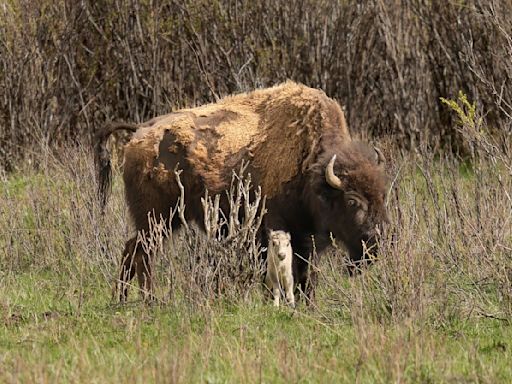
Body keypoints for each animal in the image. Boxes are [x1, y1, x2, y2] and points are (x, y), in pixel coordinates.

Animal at [96, 82, 388, 304]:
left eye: (382, 196)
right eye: (352, 201)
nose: (374, 242)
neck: (309, 165)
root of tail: (140, 132)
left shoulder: (306, 239)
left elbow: (307, 273)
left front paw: (308, 304)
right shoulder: (271, 229)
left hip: (166, 219)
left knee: (131, 250)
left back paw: (122, 298)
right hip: (157, 218)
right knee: (142, 253)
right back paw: (149, 299)